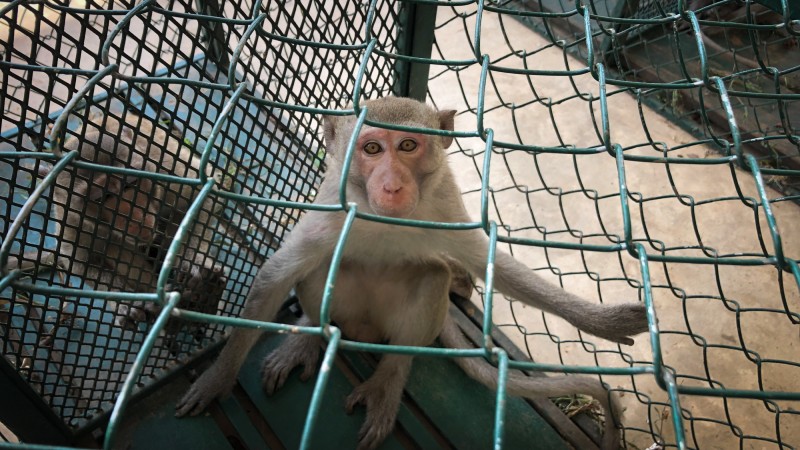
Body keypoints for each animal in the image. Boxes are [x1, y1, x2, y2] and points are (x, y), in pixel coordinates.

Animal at [175, 97, 648, 450]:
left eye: (407, 146)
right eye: (371, 149)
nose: (392, 186)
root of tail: (362, 330)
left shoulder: (444, 204)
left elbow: (491, 265)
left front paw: (600, 322)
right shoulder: (333, 205)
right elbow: (278, 273)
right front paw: (217, 378)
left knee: (432, 280)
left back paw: (389, 378)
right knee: (321, 267)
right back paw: (310, 335)